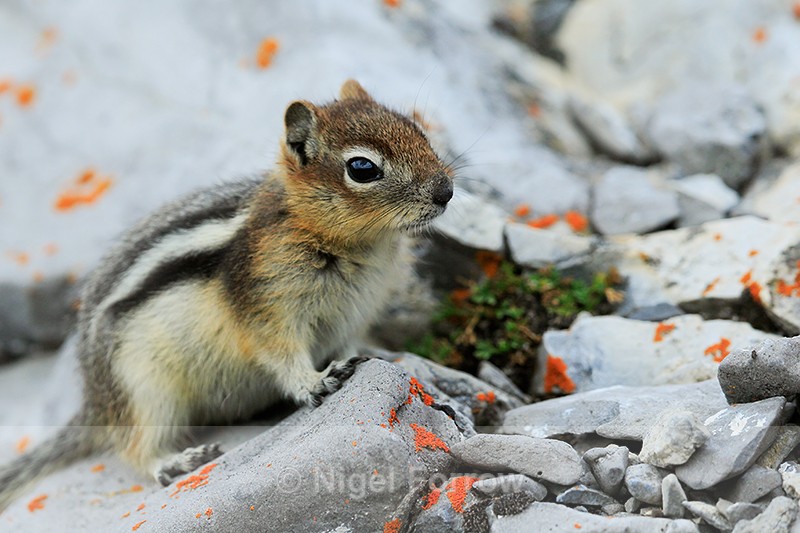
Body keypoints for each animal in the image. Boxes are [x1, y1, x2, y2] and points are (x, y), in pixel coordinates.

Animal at [0, 79, 453, 510]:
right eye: (362, 168)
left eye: (417, 129)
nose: (446, 191)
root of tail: (95, 401)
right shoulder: (266, 307)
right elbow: (280, 354)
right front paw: (316, 381)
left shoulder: (352, 315)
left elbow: (348, 344)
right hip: (145, 390)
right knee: (135, 446)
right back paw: (173, 461)